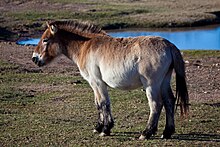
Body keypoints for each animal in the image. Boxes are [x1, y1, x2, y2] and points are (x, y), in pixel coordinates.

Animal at [31, 20, 188, 139]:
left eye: (45, 40)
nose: (34, 58)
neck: (85, 46)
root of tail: (169, 45)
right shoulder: (94, 84)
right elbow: (98, 104)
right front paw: (98, 127)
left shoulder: (97, 82)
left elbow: (103, 103)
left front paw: (105, 129)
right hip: (164, 82)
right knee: (169, 101)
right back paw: (167, 132)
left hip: (151, 85)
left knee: (156, 104)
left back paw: (146, 133)